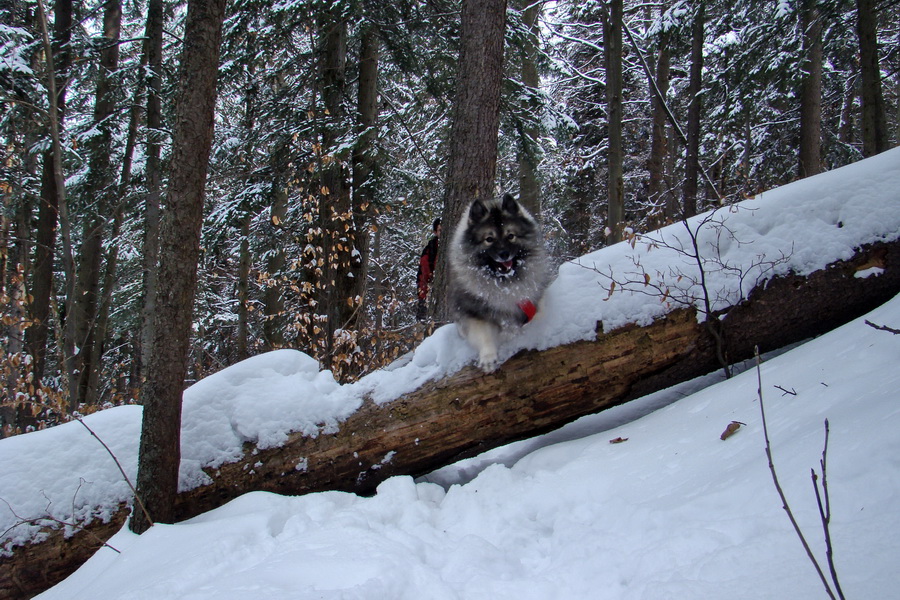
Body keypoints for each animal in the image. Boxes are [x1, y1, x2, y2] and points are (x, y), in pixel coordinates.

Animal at [448, 193, 552, 370]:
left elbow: (539, 315)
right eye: (489, 239)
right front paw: (488, 358)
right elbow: (483, 335)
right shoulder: (473, 312)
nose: (504, 254)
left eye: (511, 236)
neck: (505, 284)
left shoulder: (533, 302)